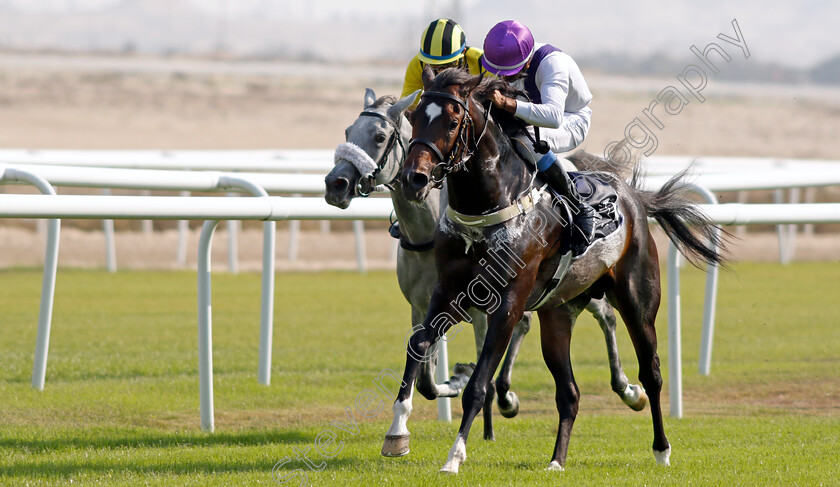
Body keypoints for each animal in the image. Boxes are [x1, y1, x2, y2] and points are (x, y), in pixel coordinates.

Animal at [324, 88, 648, 450]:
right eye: (348, 131)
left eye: (380, 137)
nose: (335, 184)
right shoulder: (423, 305)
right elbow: (424, 374)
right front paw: (448, 386)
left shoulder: (481, 308)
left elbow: (478, 364)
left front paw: (477, 410)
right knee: (529, 324)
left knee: (605, 316)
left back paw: (628, 389)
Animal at [384, 68, 724, 472]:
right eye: (414, 116)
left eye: (452, 121)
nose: (414, 179)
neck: (485, 207)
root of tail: (633, 198)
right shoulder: (449, 290)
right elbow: (418, 344)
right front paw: (397, 433)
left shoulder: (508, 303)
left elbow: (478, 384)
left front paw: (454, 457)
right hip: (558, 314)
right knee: (570, 392)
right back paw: (556, 460)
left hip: (638, 302)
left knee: (651, 372)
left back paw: (660, 447)